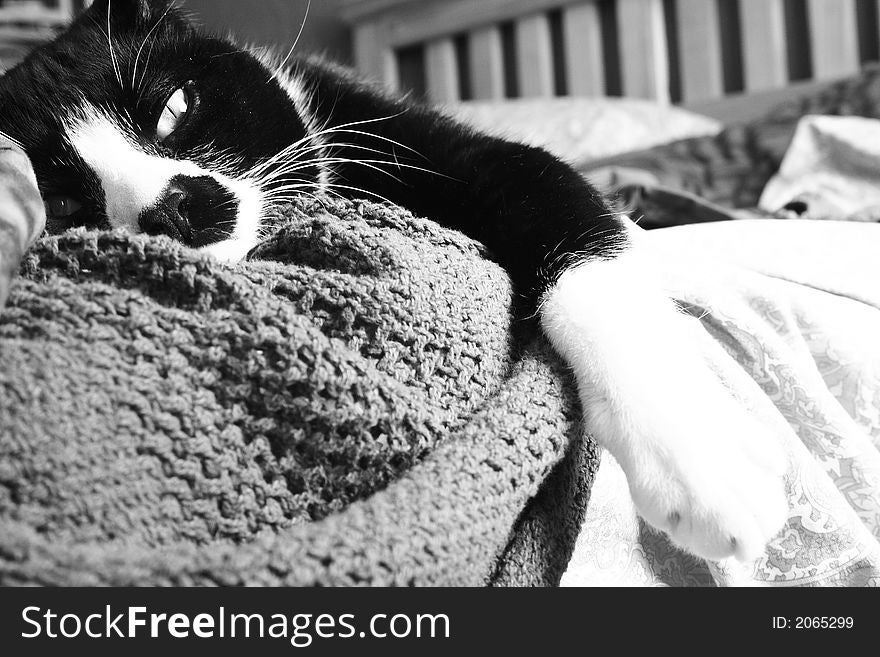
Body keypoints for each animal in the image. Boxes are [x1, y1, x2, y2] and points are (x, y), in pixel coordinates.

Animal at [0, 1, 788, 564]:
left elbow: (575, 229)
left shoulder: (450, 146)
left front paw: (699, 455)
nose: (177, 206)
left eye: (175, 106)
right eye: (61, 205)